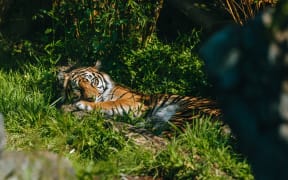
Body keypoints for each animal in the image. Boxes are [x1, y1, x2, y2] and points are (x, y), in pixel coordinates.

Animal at [57, 61, 222, 136]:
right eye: (78, 88)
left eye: (93, 82)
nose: (90, 98)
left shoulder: (133, 102)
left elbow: (109, 104)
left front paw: (83, 104)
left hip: (187, 112)